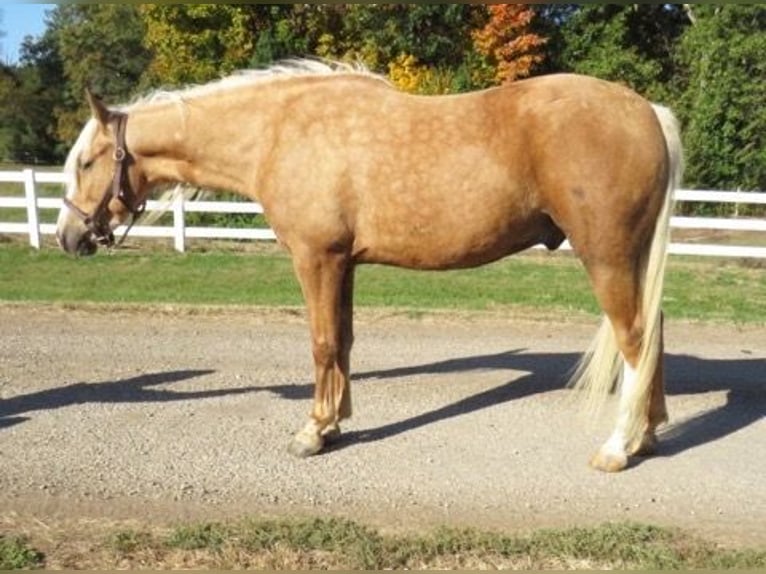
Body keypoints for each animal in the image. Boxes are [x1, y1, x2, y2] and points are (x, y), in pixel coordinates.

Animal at [58, 59, 684, 472]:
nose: (68, 236)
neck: (278, 133)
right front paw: (334, 422)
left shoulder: (315, 259)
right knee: (651, 332)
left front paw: (311, 432)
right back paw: (648, 436)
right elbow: (344, 341)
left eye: (87, 162)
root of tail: (646, 111)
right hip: (633, 258)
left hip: (607, 256)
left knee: (633, 338)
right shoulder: (344, 263)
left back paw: (617, 448)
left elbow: (321, 343)